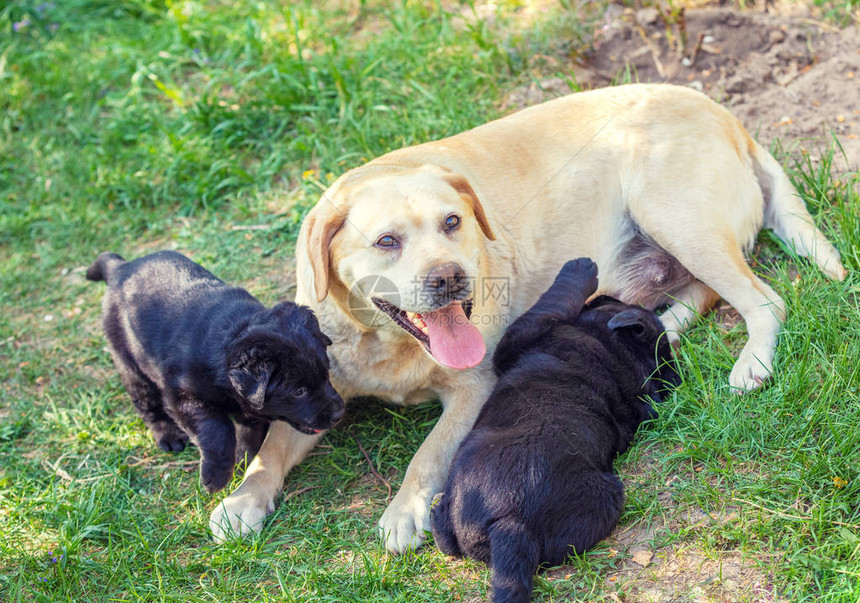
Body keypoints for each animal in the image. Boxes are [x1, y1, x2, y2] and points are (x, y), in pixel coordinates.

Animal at [86, 252, 342, 494]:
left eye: (326, 373)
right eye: (298, 391)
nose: (339, 413)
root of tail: (120, 267)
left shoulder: (248, 411)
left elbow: (249, 434)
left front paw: (243, 462)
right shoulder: (181, 397)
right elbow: (217, 430)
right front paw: (216, 476)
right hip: (130, 363)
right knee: (147, 405)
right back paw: (169, 437)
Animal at [210, 84, 848, 552]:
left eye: (453, 222)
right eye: (387, 241)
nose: (451, 278)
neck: (386, 344)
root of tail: (725, 115)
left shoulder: (473, 390)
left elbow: (429, 452)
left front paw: (406, 509)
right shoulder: (315, 393)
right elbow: (270, 450)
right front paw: (241, 501)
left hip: (675, 217)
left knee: (761, 299)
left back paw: (751, 362)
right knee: (698, 296)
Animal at [430, 258, 680, 603]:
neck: (615, 349)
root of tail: (510, 522)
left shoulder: (517, 338)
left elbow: (552, 303)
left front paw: (581, 268)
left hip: (606, 495)